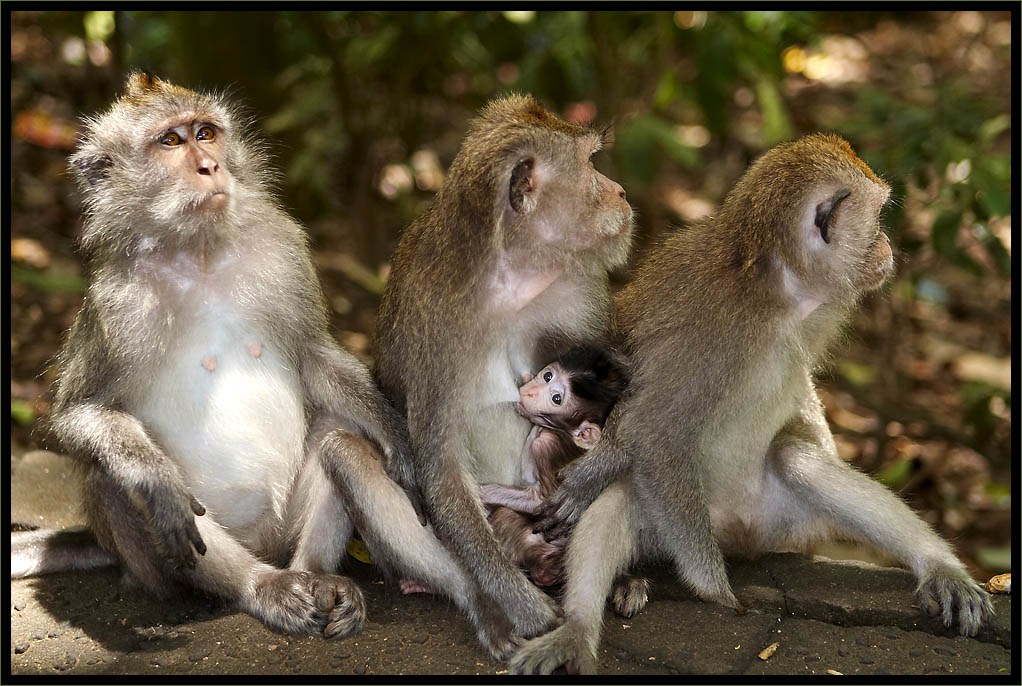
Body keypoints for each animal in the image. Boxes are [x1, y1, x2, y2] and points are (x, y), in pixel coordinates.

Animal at [376, 95, 629, 637]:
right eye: (591, 164)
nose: (621, 192)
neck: (508, 273)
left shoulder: (576, 288)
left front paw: (590, 476)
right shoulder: (435, 329)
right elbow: (443, 469)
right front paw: (523, 607)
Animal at [515, 131, 993, 674]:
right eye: (877, 217)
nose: (888, 246)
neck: (776, 286)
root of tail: (738, 533)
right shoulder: (716, 329)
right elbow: (653, 430)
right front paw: (717, 593)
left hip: (784, 521)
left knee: (796, 457)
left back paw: (938, 566)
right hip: (672, 525)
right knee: (626, 495)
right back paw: (579, 628)